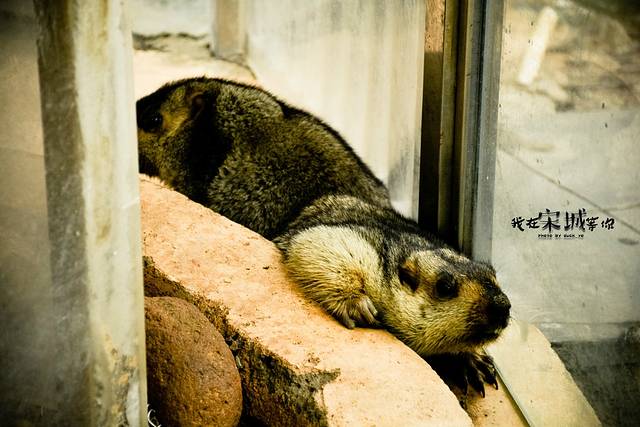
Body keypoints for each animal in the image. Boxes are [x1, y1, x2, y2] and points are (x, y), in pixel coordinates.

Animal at [136, 77, 511, 400]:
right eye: (446, 287)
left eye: (494, 275)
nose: (504, 306)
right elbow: (323, 244)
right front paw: (360, 306)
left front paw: (473, 363)